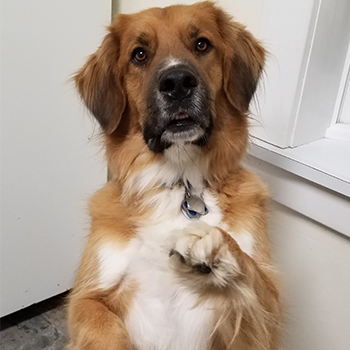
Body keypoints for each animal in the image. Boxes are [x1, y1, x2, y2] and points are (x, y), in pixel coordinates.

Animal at [67, 1, 282, 348]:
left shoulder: (269, 313)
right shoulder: (89, 297)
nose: (178, 82)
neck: (180, 183)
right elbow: (102, 327)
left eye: (202, 44)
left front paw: (213, 244)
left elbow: (250, 273)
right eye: (139, 54)